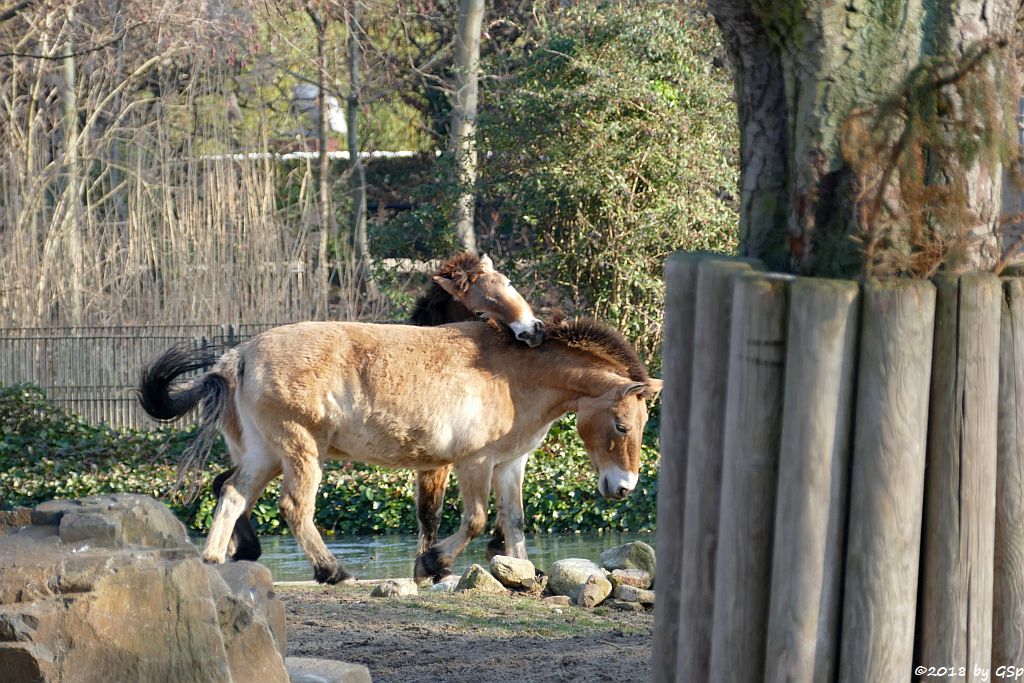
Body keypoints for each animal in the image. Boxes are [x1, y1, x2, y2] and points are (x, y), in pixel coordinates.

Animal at [138, 317, 663, 581]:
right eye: (621, 424)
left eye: (641, 426)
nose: (623, 488)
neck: (516, 375)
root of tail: (240, 355)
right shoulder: (474, 463)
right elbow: (475, 520)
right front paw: (432, 564)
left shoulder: (510, 464)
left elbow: (512, 521)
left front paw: (522, 572)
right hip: (300, 452)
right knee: (293, 508)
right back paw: (333, 571)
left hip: (264, 455)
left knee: (232, 494)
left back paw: (214, 559)